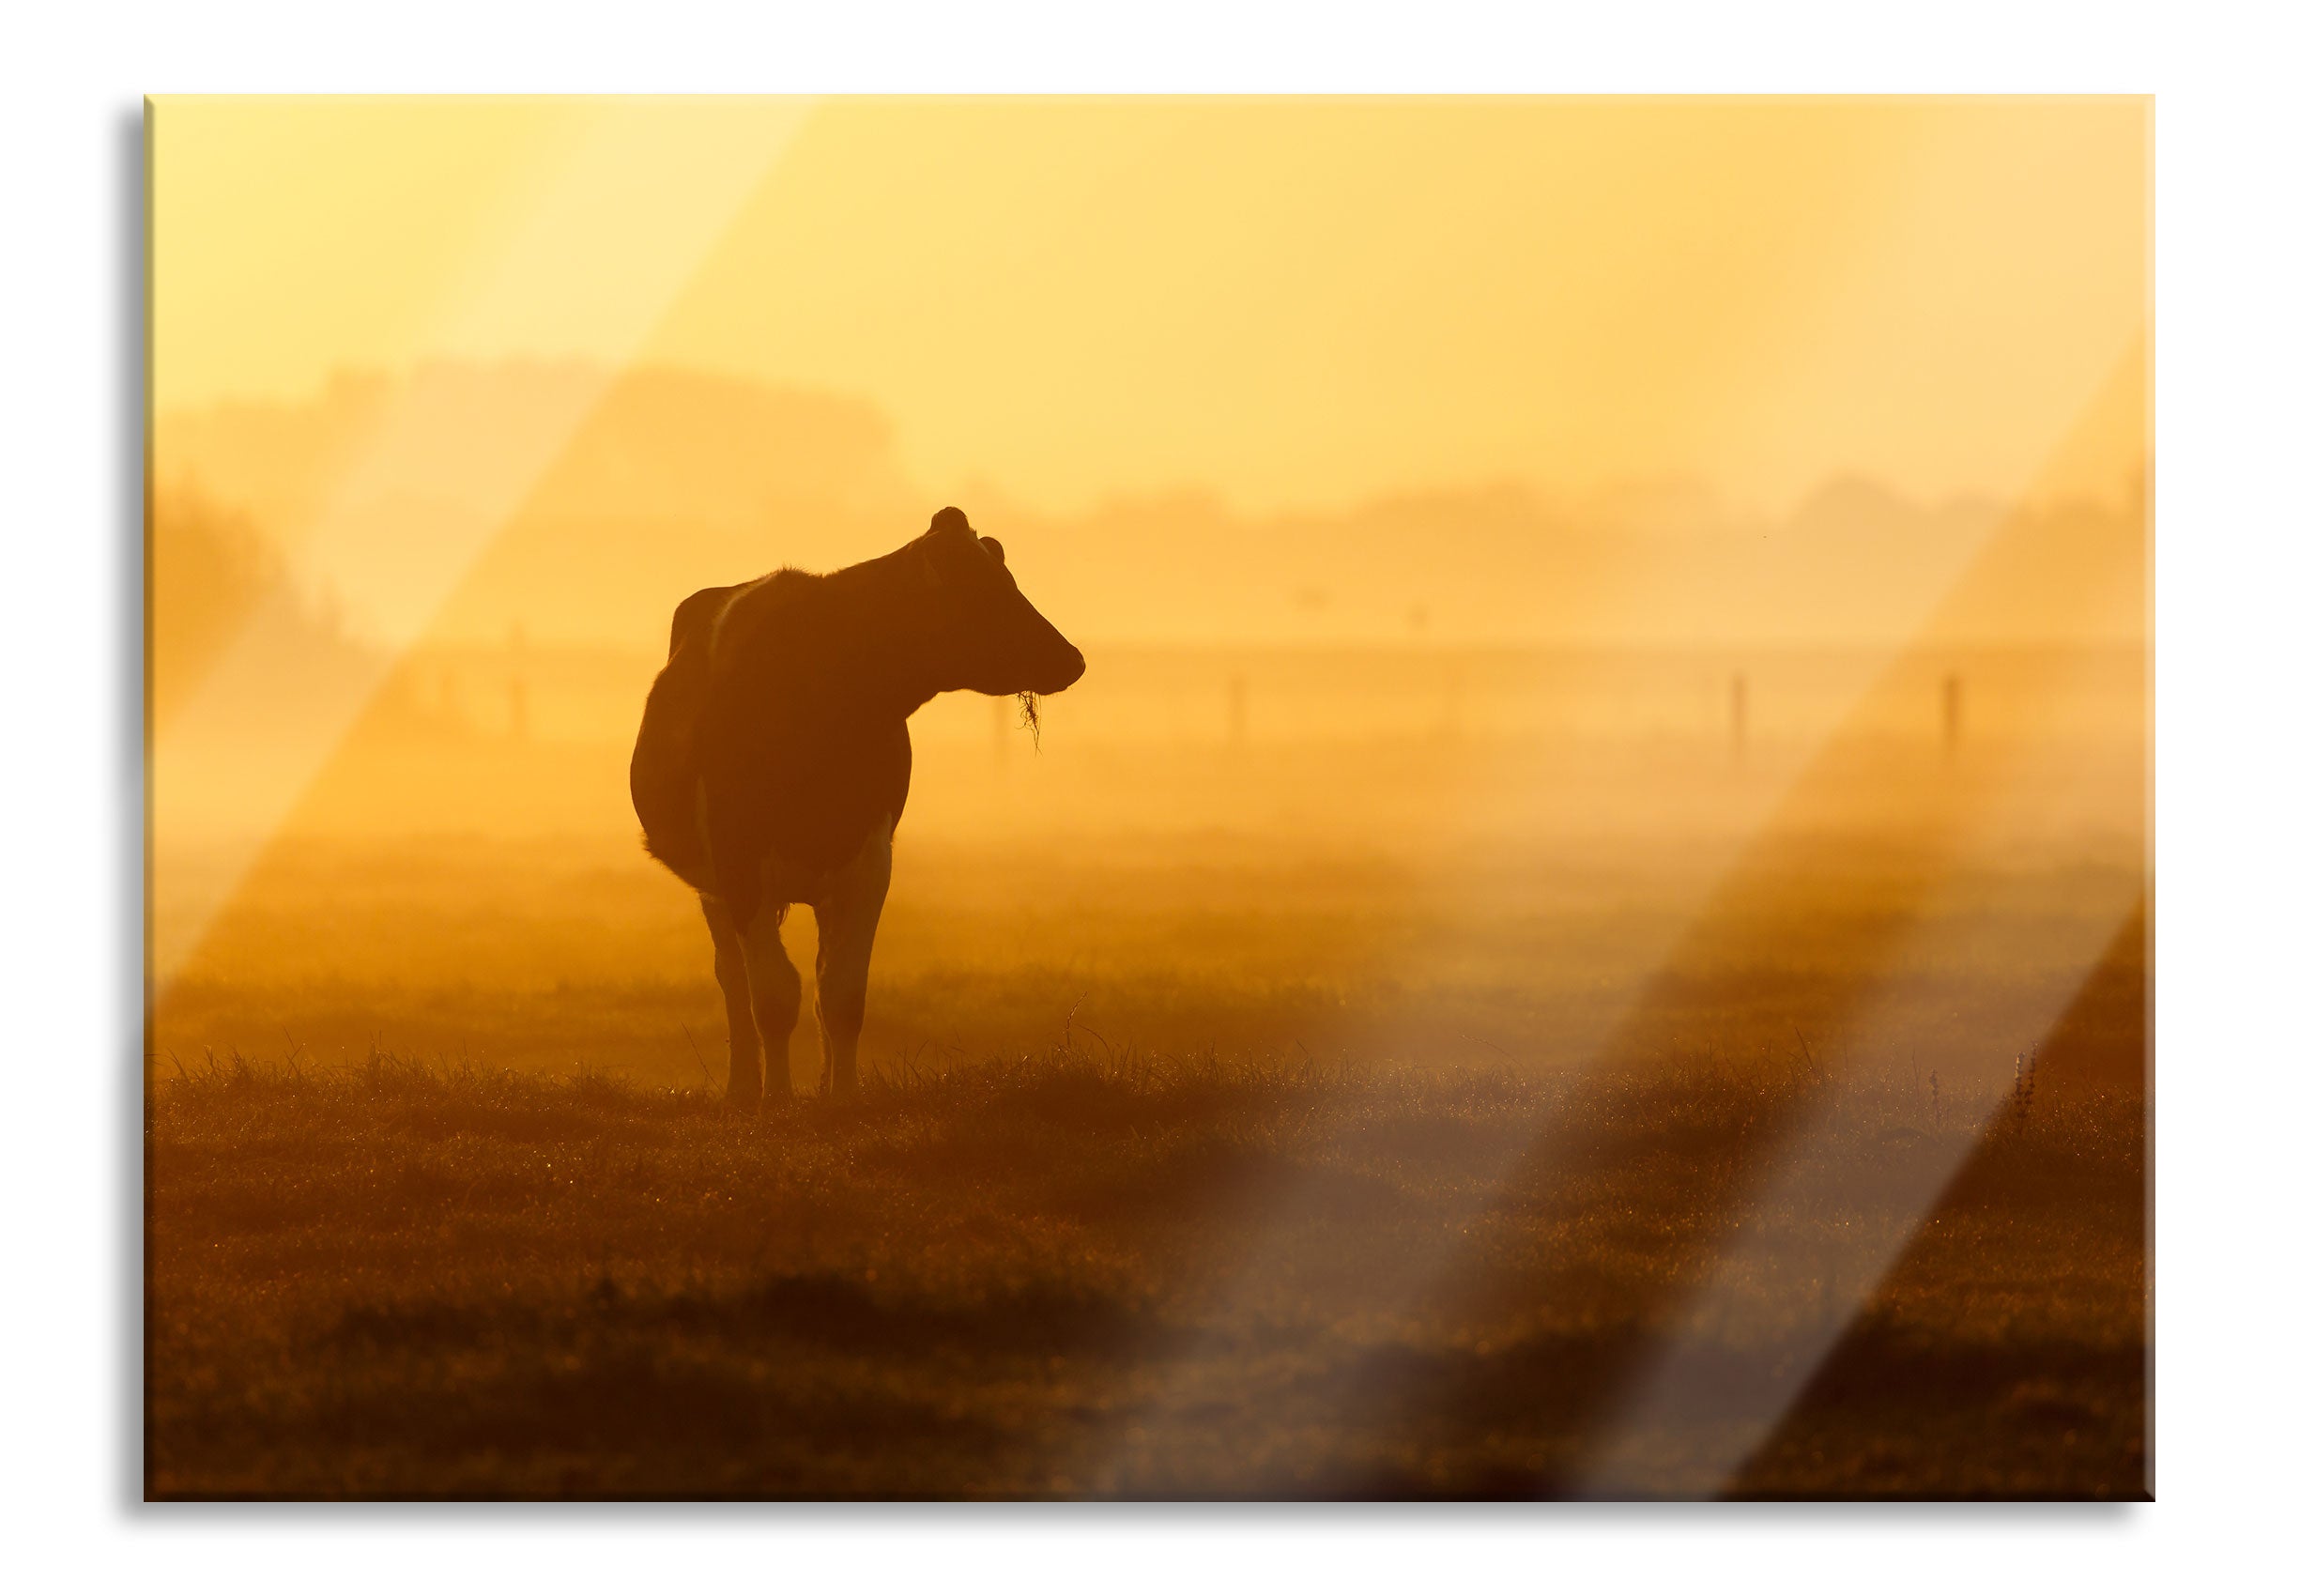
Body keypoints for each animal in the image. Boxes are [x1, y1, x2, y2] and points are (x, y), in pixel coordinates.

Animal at [630, 505, 1085, 1108]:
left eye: (1008, 578)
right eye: (982, 589)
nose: (1071, 659)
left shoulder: (869, 858)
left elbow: (843, 994)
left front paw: (841, 1097)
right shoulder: (738, 861)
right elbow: (772, 996)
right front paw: (778, 1099)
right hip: (714, 887)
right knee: (733, 980)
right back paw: (743, 1087)